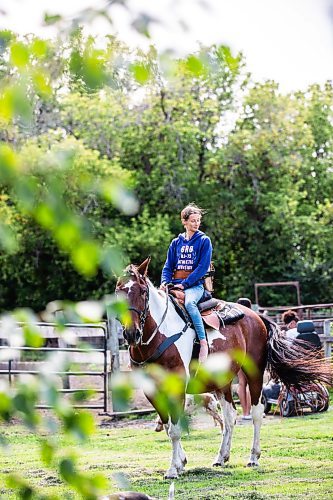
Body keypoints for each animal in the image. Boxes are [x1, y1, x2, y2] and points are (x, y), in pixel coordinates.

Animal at [115, 260, 332, 478]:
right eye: (118, 292)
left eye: (143, 291)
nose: (131, 334)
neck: (160, 335)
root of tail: (257, 317)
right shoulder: (151, 390)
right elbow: (168, 426)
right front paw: (181, 462)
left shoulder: (177, 386)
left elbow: (175, 429)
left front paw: (173, 469)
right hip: (222, 382)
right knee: (229, 417)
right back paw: (221, 457)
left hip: (254, 373)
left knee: (256, 412)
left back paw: (253, 457)